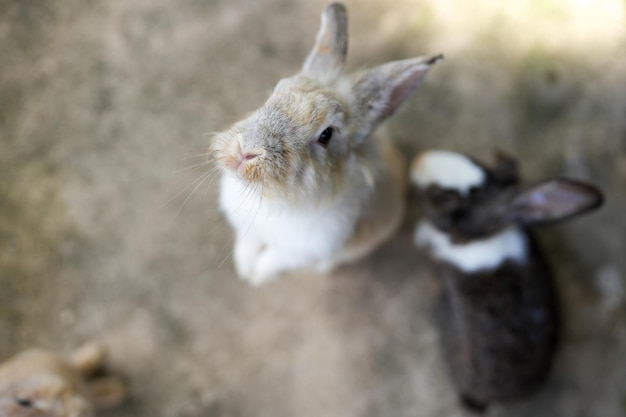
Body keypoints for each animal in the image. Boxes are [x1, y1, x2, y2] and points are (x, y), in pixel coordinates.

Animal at [212, 1, 442, 284]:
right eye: (277, 90)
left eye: (326, 135)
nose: (244, 152)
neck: (272, 197)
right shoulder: (248, 228)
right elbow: (248, 243)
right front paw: (244, 268)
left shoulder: (299, 251)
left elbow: (272, 260)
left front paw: (255, 277)